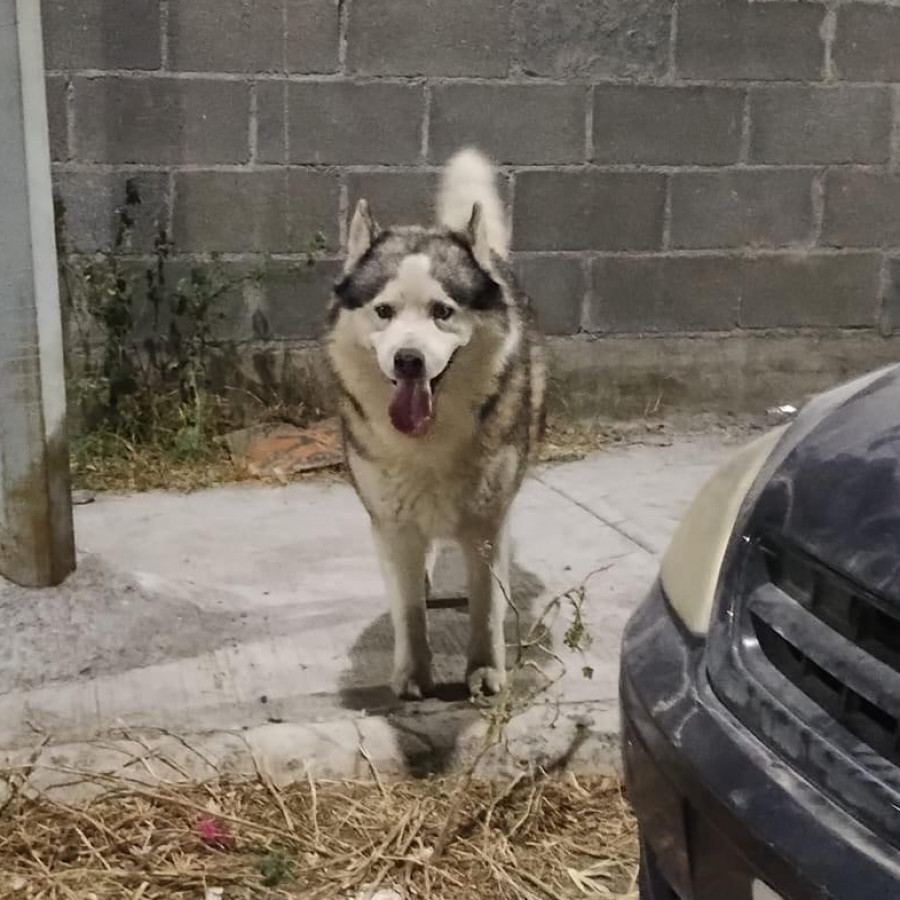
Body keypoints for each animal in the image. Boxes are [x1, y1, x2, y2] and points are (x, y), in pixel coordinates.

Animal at [326, 148, 544, 700]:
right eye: (383, 311)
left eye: (443, 311)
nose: (408, 361)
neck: (427, 443)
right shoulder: (393, 524)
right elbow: (406, 609)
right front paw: (412, 674)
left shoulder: (486, 523)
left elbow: (485, 606)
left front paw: (484, 669)